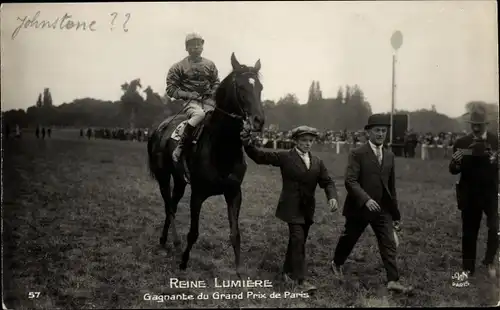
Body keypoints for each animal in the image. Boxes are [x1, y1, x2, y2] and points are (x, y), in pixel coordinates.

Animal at [146, 53, 266, 276]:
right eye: (241, 87)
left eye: (260, 87)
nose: (258, 121)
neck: (222, 148)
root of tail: (159, 128)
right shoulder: (198, 194)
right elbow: (193, 232)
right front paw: (183, 263)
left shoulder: (234, 193)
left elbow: (235, 233)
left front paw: (238, 270)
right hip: (163, 177)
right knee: (169, 207)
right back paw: (172, 241)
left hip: (180, 181)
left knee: (172, 205)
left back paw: (167, 240)